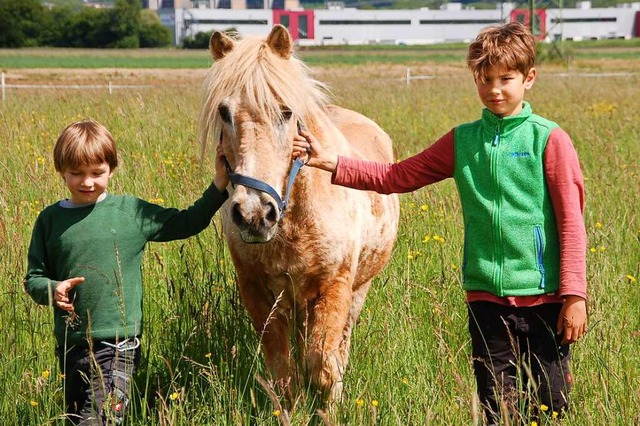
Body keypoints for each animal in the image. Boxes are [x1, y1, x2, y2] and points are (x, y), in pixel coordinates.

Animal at [200, 25, 400, 402]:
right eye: (224, 112)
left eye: (286, 113)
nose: (255, 213)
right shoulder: (259, 294)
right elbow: (283, 372)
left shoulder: (334, 289)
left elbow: (324, 366)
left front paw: (329, 407)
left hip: (357, 289)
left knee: (341, 344)